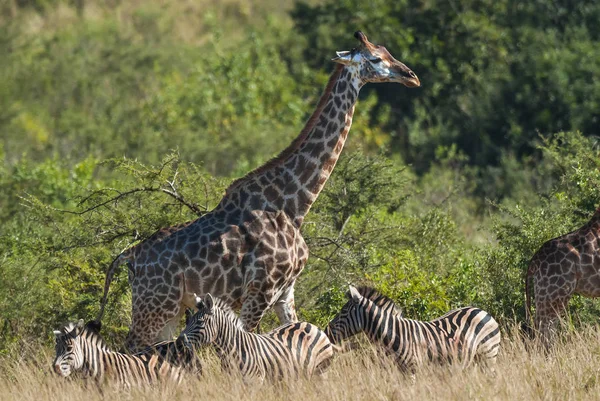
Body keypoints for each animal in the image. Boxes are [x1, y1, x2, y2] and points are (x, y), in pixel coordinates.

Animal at [97, 30, 418, 350]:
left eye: (387, 51)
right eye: (375, 59)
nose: (411, 76)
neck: (293, 206)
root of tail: (129, 256)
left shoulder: (285, 293)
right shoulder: (260, 291)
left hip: (170, 309)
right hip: (154, 305)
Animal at [178, 292, 338, 380]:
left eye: (200, 322)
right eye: (188, 321)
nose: (179, 342)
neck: (233, 350)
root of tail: (311, 325)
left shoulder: (255, 381)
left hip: (320, 371)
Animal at [326, 286, 500, 370]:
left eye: (343, 312)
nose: (326, 332)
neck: (393, 334)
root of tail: (482, 311)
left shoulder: (412, 368)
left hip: (488, 356)